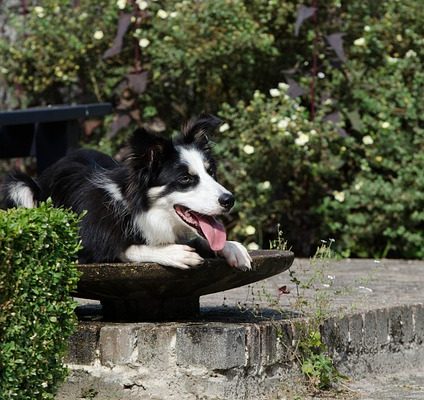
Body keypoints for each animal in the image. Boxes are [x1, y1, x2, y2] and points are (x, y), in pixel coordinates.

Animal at [1, 115, 252, 270]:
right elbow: (124, 248)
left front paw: (233, 248)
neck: (139, 209)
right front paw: (175, 253)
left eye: (211, 173)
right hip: (18, 186)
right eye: (186, 179)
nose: (229, 200)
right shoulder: (81, 242)